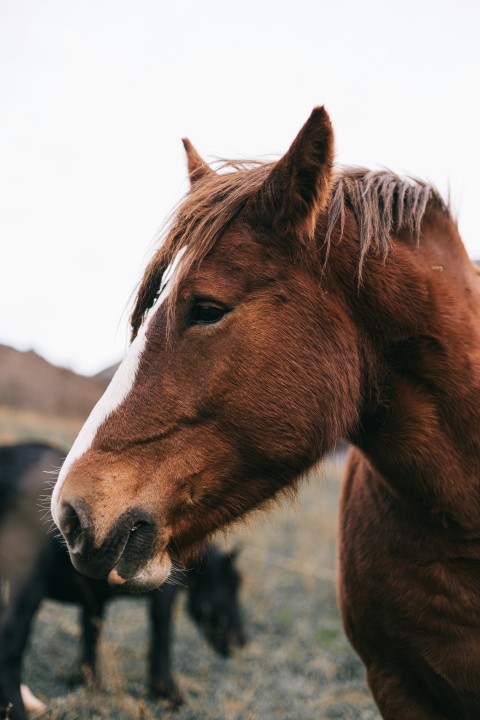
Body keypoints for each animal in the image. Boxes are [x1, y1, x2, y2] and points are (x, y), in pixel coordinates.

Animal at [0, 442, 246, 716]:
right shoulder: (164, 597)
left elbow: (91, 634)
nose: (241, 640)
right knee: (10, 640)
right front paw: (167, 691)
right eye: (232, 585)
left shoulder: (93, 600)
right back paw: (17, 707)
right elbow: (161, 636)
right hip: (28, 584)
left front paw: (88, 681)